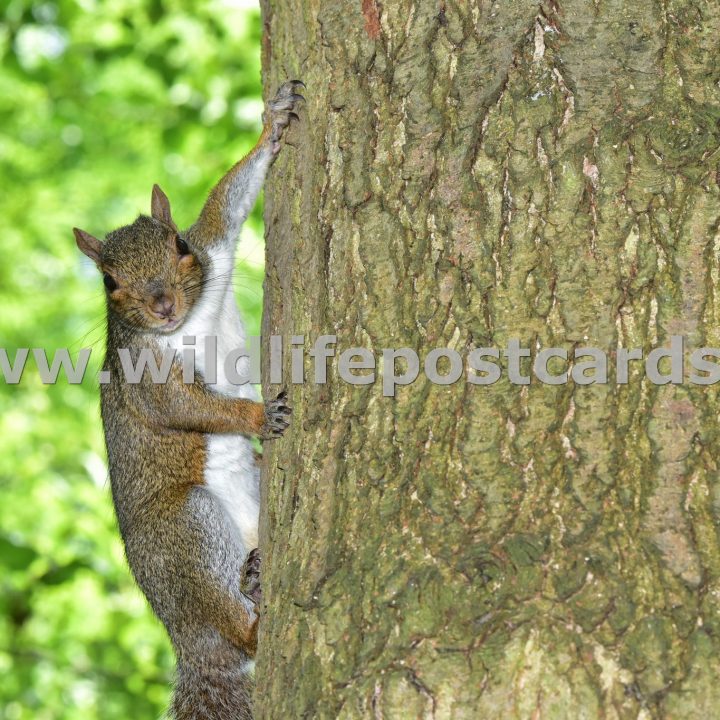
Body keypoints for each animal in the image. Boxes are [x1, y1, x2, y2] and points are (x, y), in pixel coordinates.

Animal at [74, 81, 306, 716]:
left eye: (178, 244)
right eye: (109, 281)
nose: (161, 305)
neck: (183, 326)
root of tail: (192, 648)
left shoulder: (216, 250)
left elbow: (228, 203)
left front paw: (274, 124)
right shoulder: (146, 377)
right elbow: (185, 409)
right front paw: (259, 414)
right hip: (186, 536)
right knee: (235, 627)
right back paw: (251, 615)